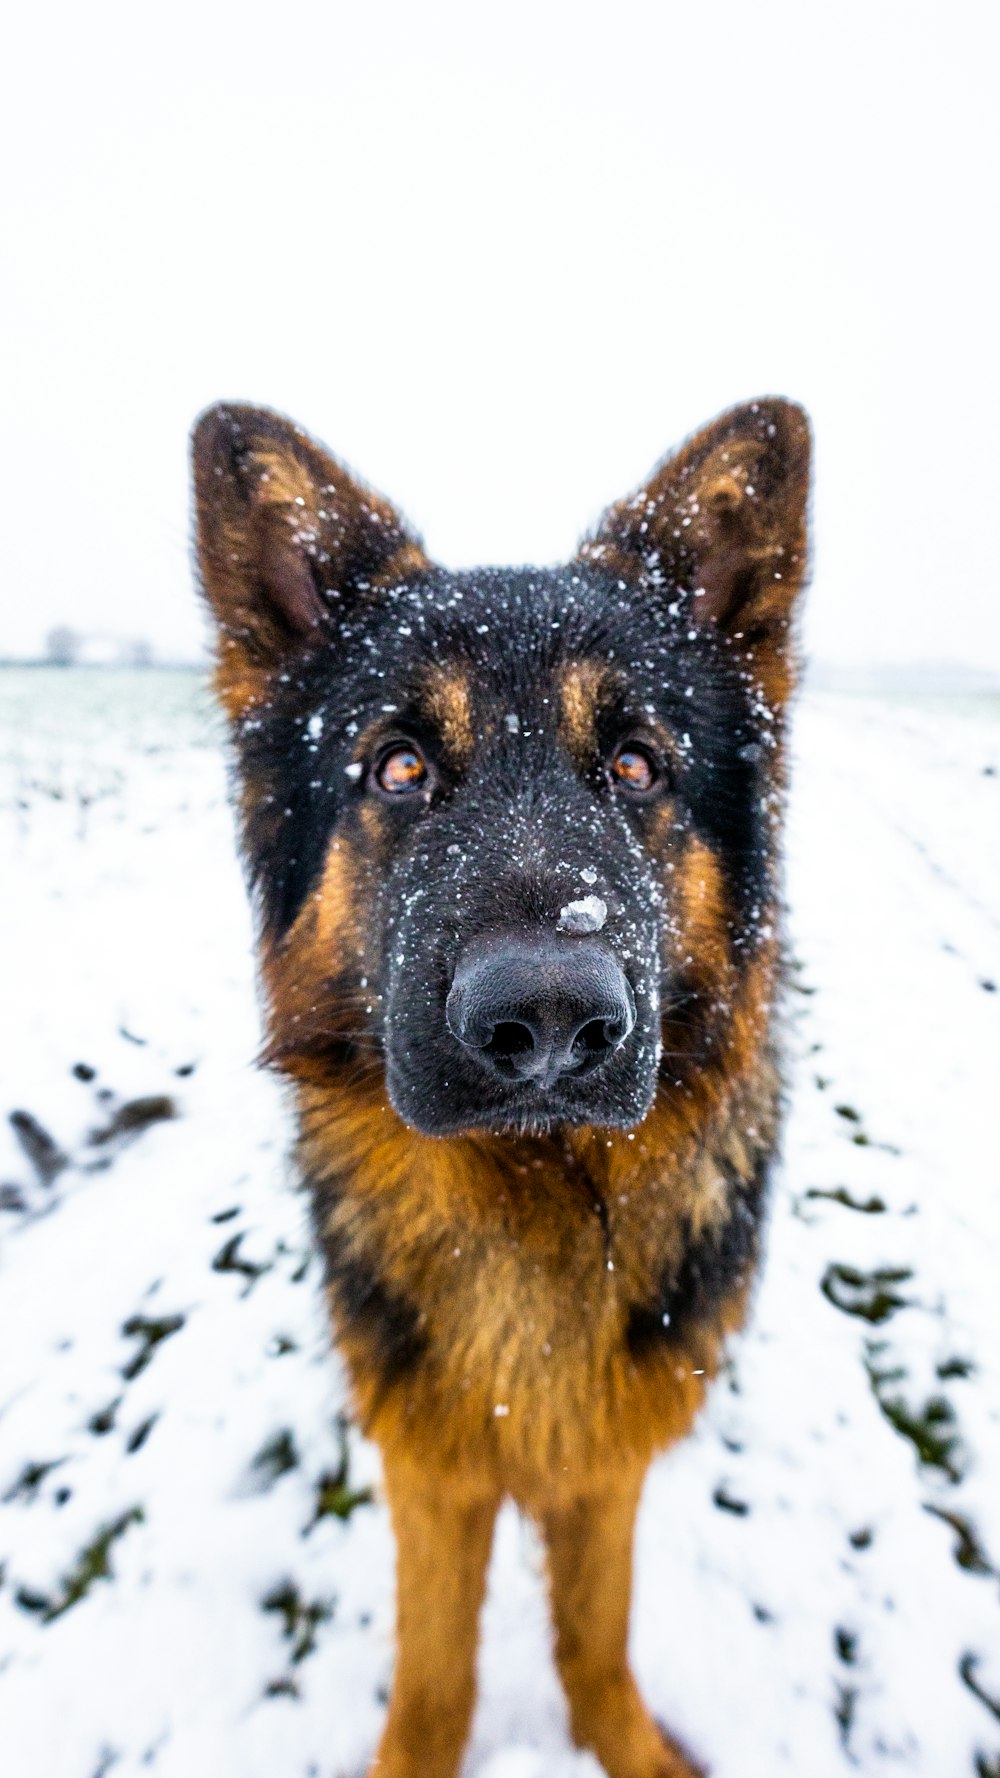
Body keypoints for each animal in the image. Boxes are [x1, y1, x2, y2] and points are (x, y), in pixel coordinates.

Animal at [190, 403, 804, 1778]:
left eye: (635, 764)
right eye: (398, 765)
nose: (550, 1023)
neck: (535, 1198)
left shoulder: (606, 1454)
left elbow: (594, 1624)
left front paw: (625, 1743)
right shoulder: (431, 1462)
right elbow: (434, 1668)